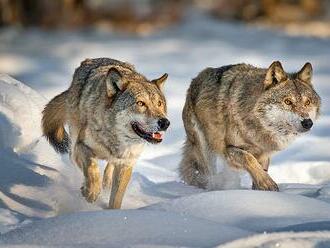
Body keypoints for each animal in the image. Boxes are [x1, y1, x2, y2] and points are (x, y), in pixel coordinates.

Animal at [42, 57, 170, 208]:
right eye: (140, 103)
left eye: (159, 103)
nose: (165, 123)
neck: (115, 139)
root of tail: (89, 60)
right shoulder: (82, 146)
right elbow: (92, 169)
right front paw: (91, 192)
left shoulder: (126, 163)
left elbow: (116, 199)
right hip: (74, 144)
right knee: (79, 162)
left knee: (109, 167)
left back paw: (106, 183)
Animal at [179, 61, 320, 191]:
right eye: (287, 102)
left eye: (307, 102)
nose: (307, 122)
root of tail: (195, 80)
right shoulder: (229, 149)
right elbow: (249, 158)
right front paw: (267, 183)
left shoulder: (265, 154)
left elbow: (260, 169)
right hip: (206, 150)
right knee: (210, 177)